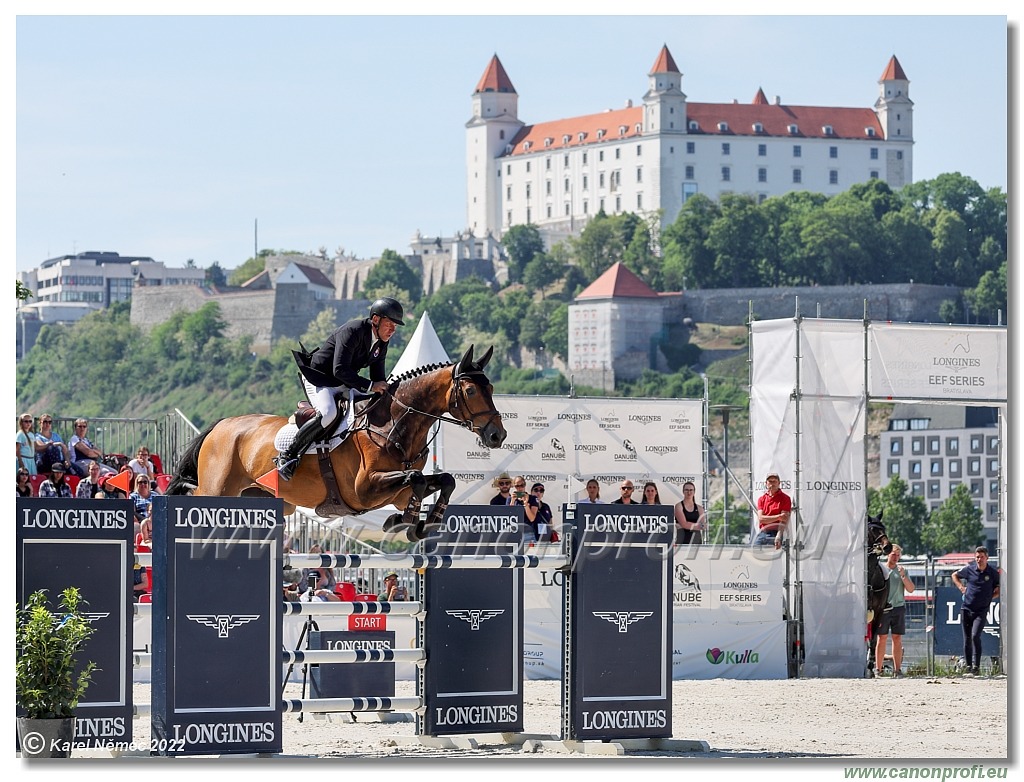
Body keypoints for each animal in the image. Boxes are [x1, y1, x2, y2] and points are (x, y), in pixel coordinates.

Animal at [164, 345, 512, 540]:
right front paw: (407, 522)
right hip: (217, 489)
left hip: (265, 499)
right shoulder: (365, 489)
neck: (393, 426)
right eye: (470, 391)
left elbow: (442, 480)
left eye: (492, 388)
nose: (498, 435)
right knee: (193, 495)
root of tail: (221, 425)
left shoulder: (396, 491)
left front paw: (418, 523)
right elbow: (415, 478)